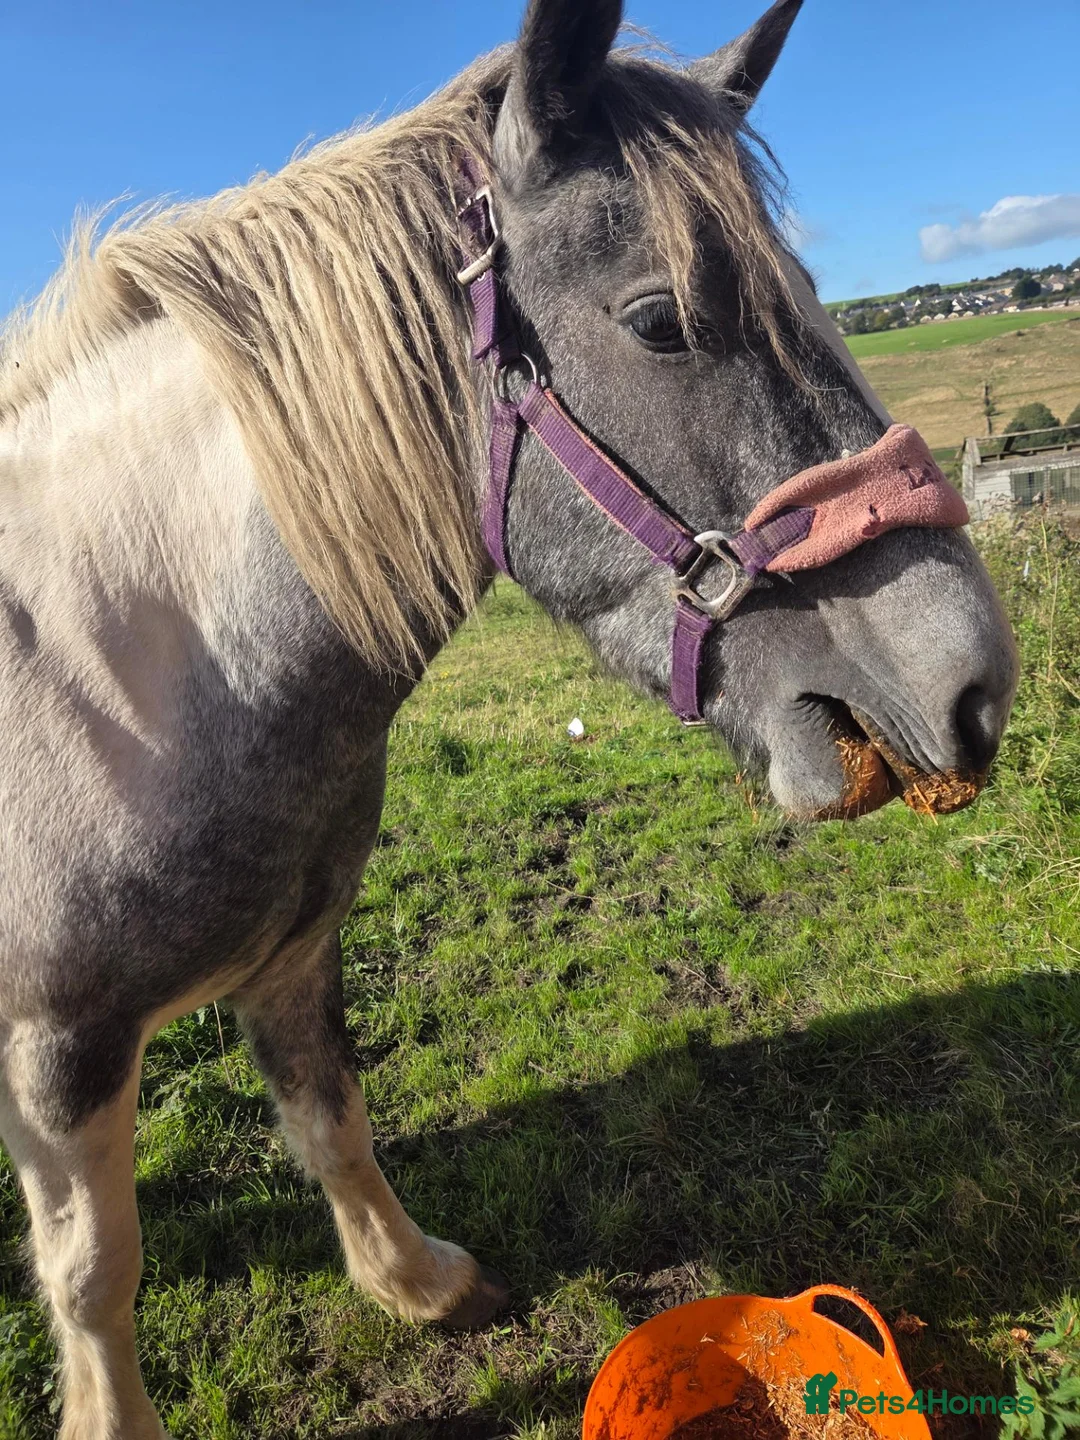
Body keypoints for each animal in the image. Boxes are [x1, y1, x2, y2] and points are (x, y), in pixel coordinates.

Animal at [0, 0, 1018, 1435]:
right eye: (662, 321)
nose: (970, 686)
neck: (120, 662)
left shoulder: (294, 956)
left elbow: (333, 1115)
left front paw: (416, 1282)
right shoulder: (57, 1053)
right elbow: (95, 1268)